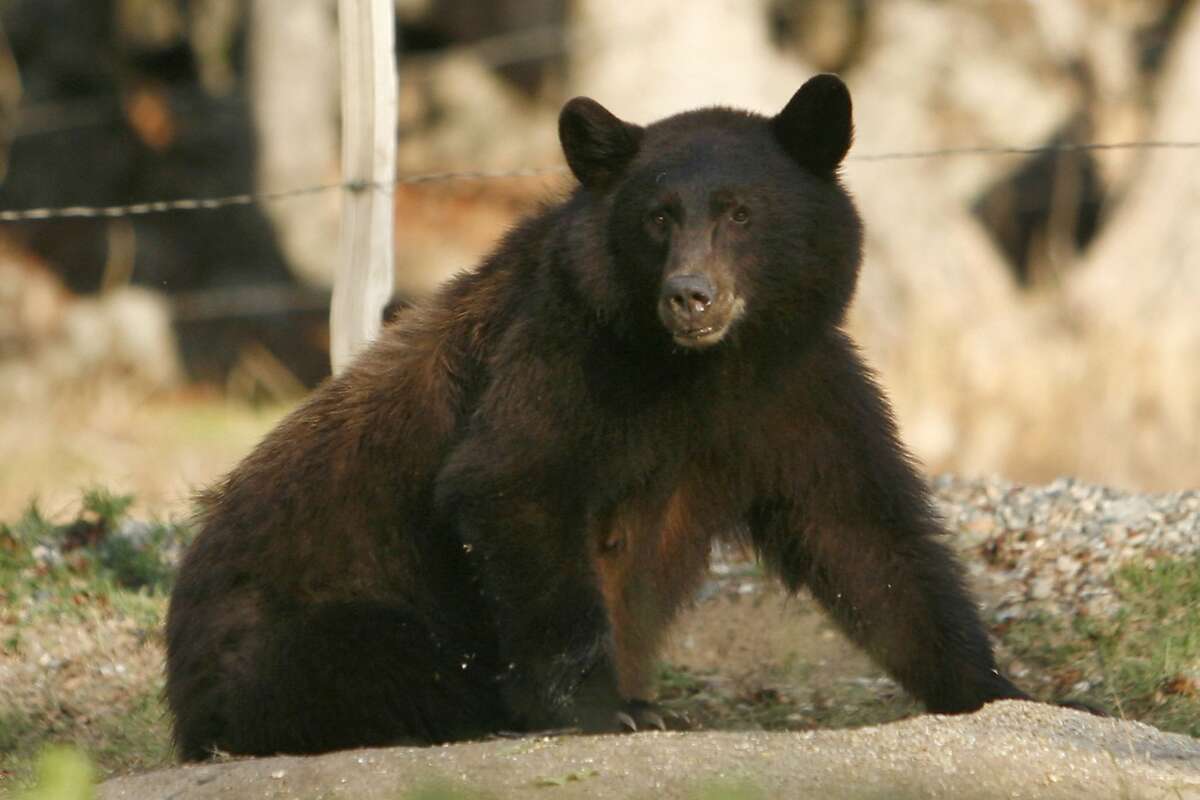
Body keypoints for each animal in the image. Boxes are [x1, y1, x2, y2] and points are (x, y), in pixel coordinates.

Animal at [165, 73, 1031, 760]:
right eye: (658, 216)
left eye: (739, 212)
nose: (691, 295)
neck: (702, 367)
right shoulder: (567, 352)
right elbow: (516, 480)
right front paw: (604, 706)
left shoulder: (794, 386)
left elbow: (864, 534)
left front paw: (996, 686)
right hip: (290, 632)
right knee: (391, 658)